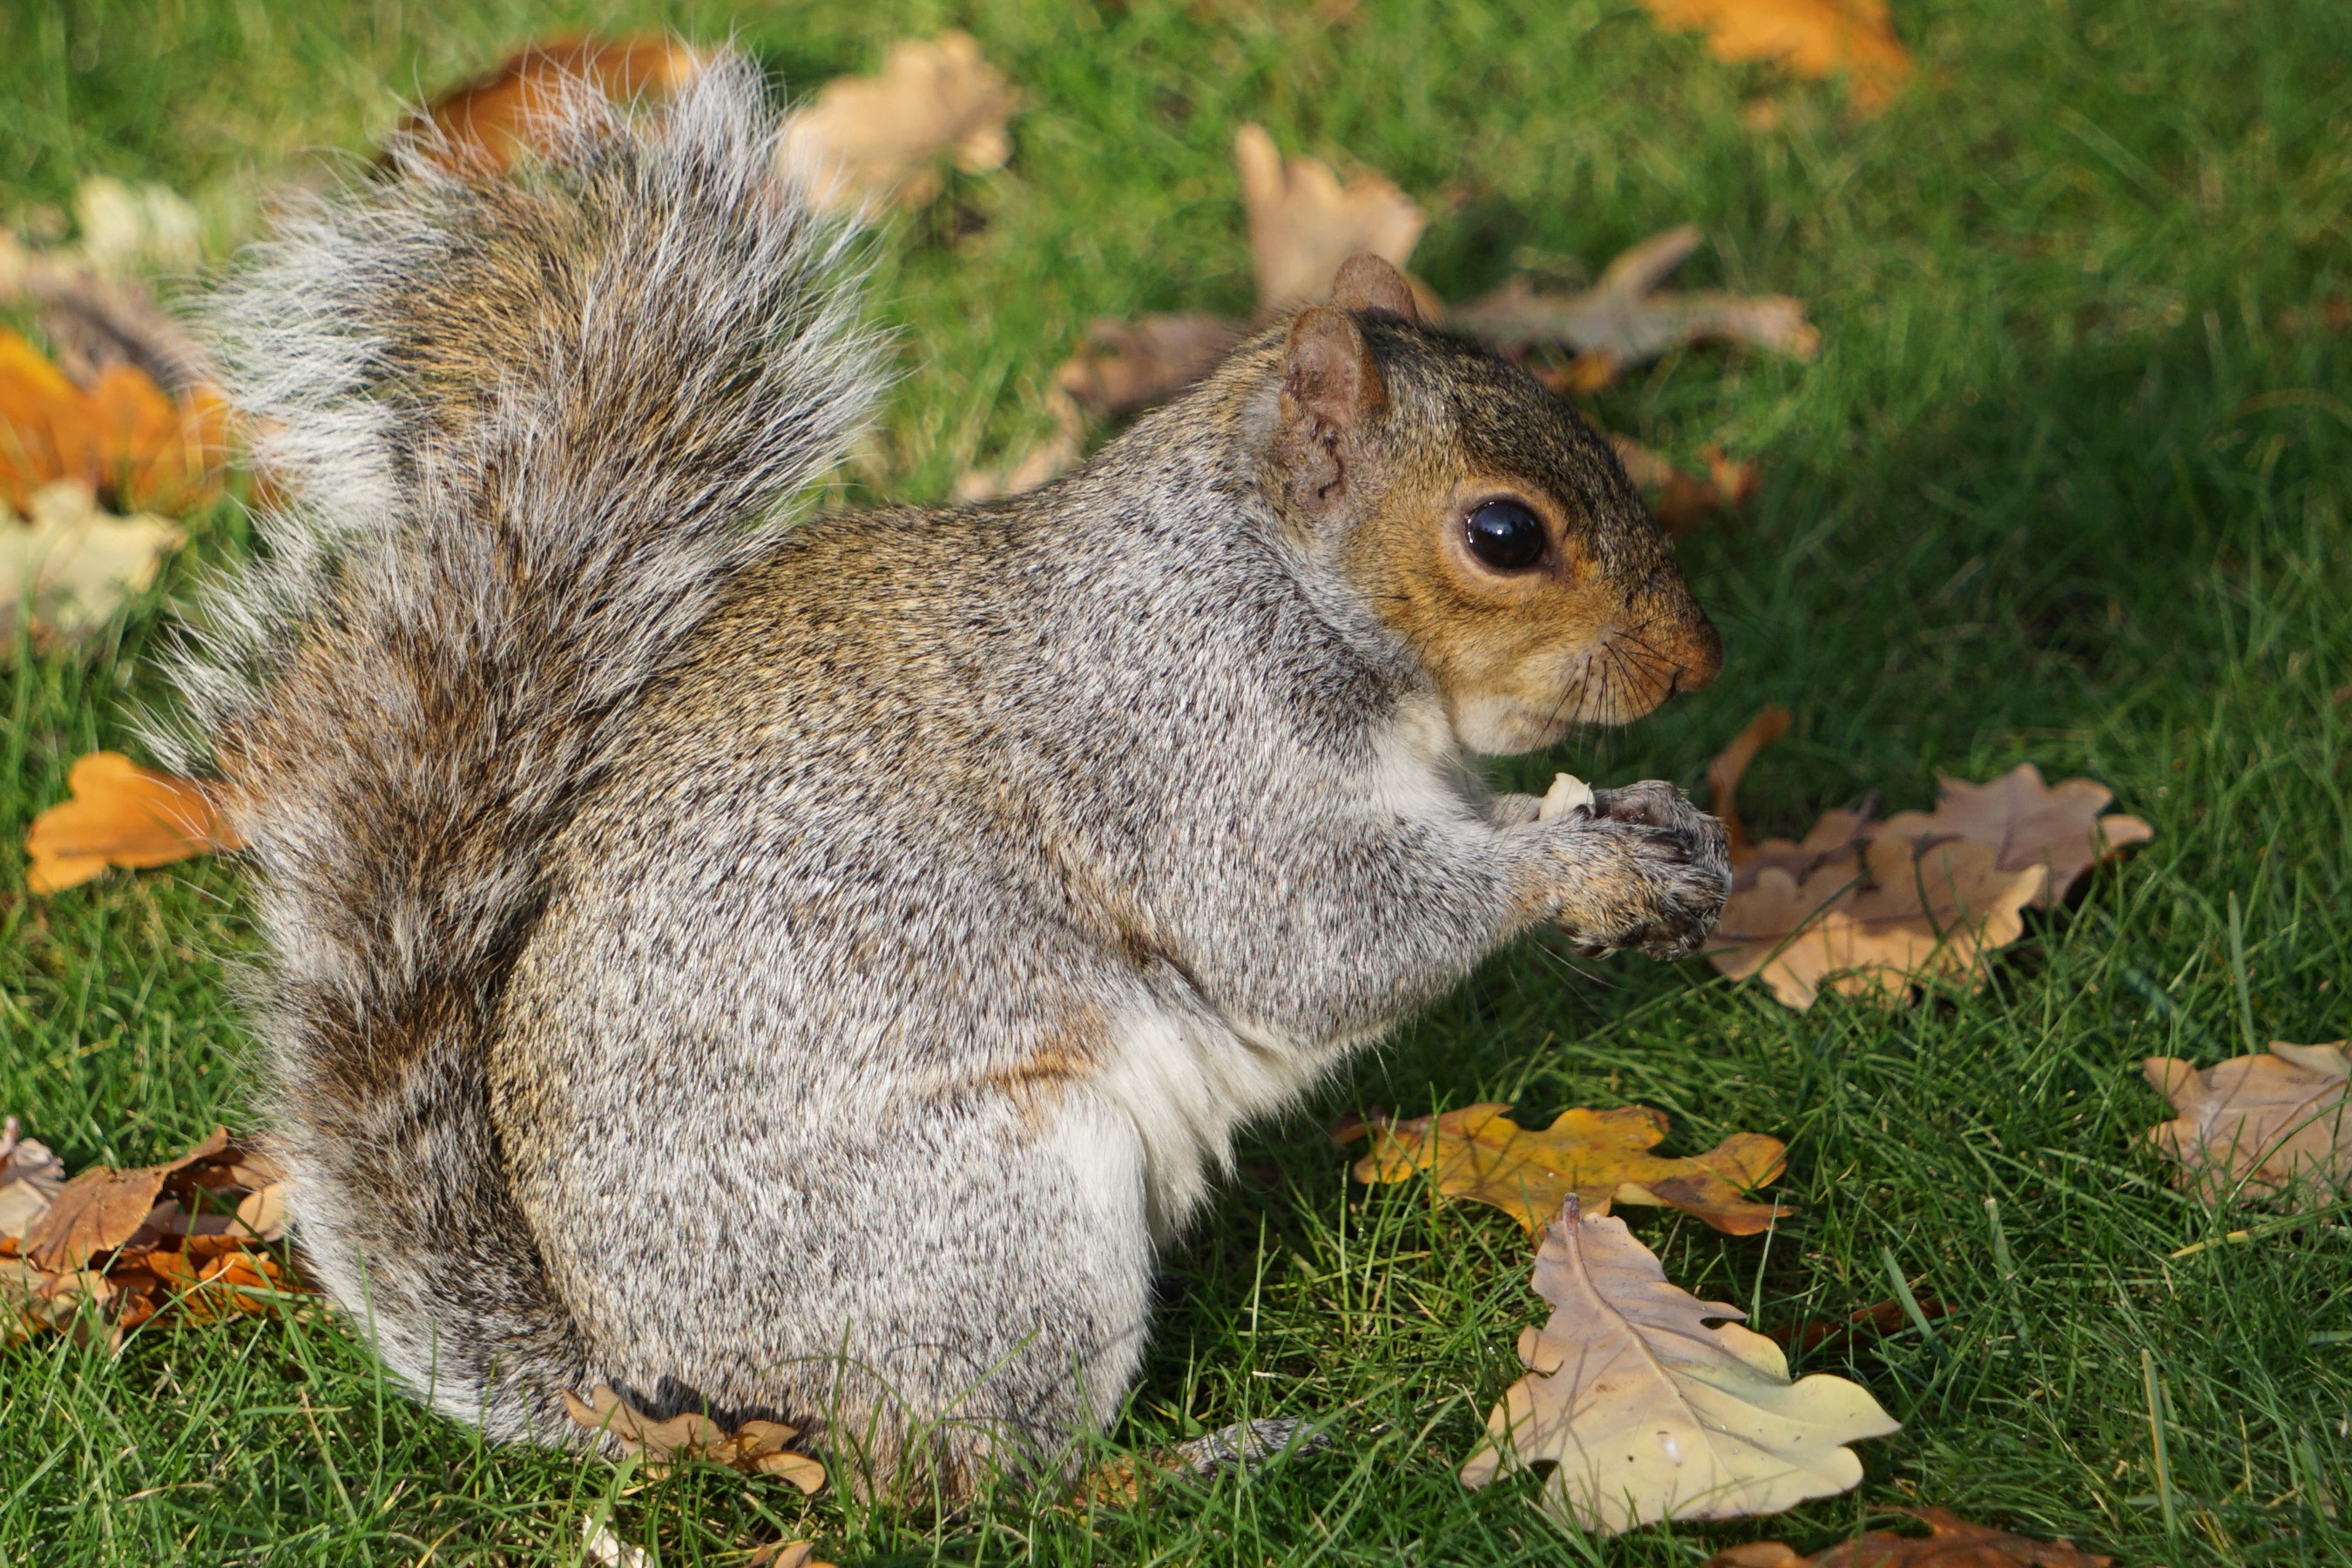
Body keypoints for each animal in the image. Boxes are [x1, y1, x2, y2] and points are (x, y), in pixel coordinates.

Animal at [164, 54, 1729, 1497]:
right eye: (1504, 534)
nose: (1692, 663)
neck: (1283, 586)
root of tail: (667, 1398)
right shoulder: (1186, 753)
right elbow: (1312, 944)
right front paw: (1574, 867)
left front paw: (1651, 830)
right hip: (994, 1236)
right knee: (976, 1484)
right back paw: (1192, 1464)